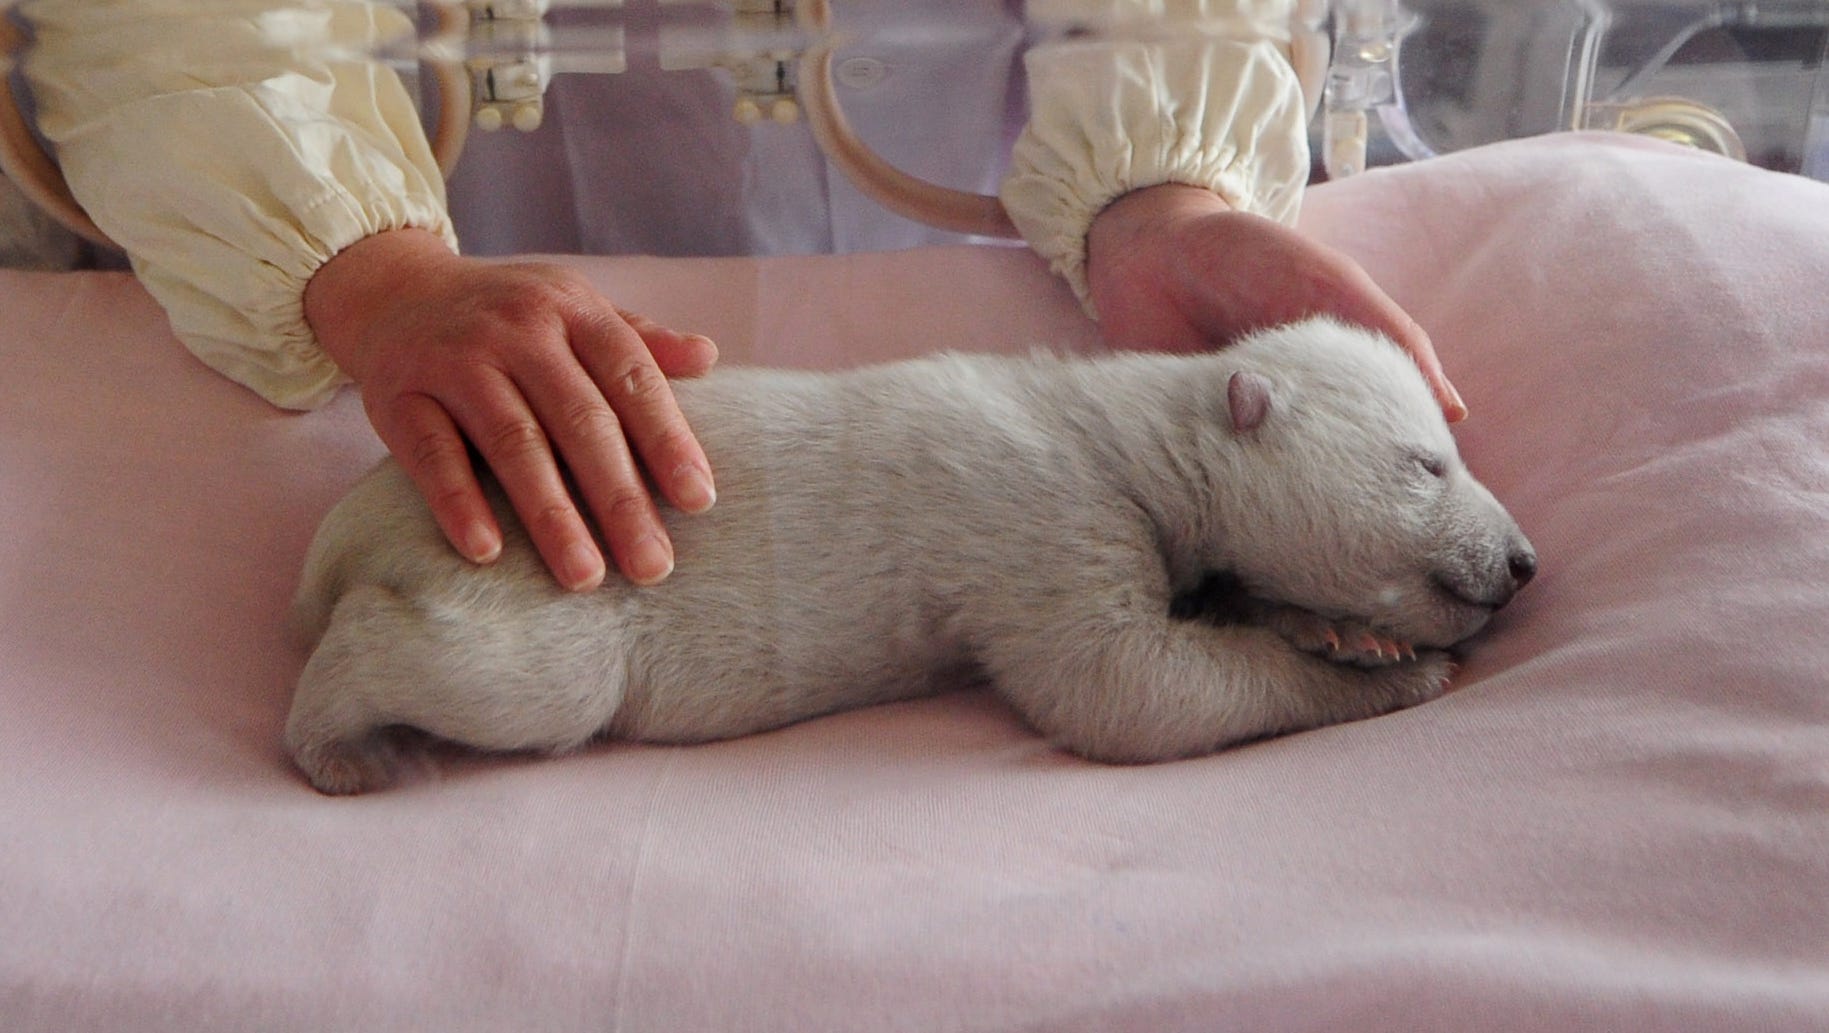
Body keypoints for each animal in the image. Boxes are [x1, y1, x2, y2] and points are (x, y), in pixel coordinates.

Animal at [285, 316, 1536, 794]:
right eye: (1427, 462)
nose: (1523, 559)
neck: (1124, 429)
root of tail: (358, 519)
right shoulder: (1043, 506)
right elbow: (1130, 688)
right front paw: (1387, 671)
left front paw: (1339, 630)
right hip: (535, 566)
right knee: (512, 676)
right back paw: (340, 742)